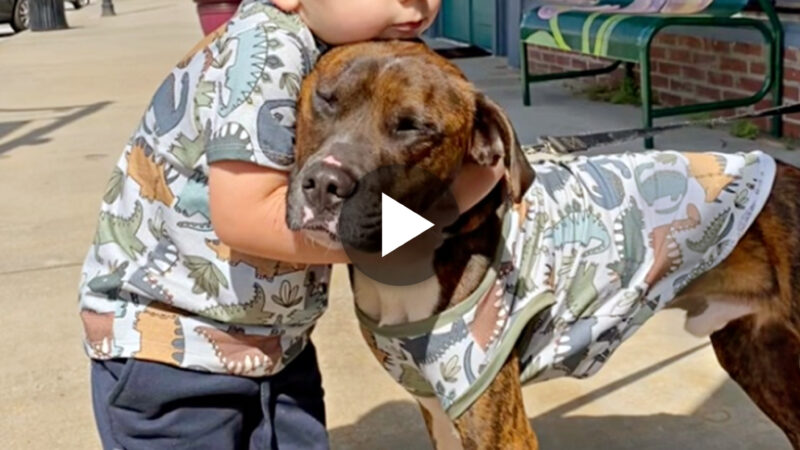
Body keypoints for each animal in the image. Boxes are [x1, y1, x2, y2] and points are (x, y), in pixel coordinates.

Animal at [286, 40, 800, 448]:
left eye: (413, 127)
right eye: (326, 99)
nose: (325, 184)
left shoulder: (492, 422)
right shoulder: (437, 410)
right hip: (757, 356)